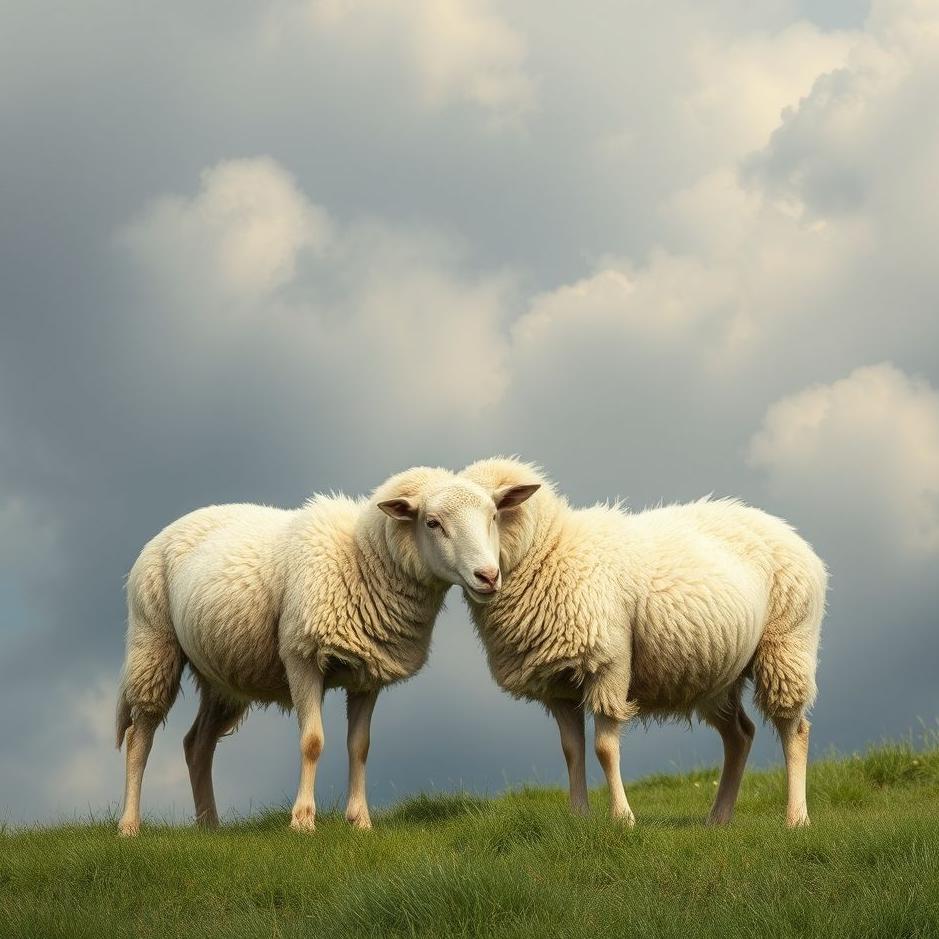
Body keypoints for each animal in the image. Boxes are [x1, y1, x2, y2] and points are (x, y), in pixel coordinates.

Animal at [115, 465, 503, 836]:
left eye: (493, 517)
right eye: (432, 522)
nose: (488, 576)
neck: (361, 559)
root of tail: (169, 528)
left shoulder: (368, 673)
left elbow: (360, 746)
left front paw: (360, 821)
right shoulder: (300, 657)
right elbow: (312, 741)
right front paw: (302, 821)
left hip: (222, 676)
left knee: (197, 743)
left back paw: (209, 825)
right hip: (154, 641)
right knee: (139, 736)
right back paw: (129, 826)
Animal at [445, 457, 827, 828]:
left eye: (494, 514)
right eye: (436, 524)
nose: (484, 576)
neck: (551, 549)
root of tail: (791, 533)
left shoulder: (609, 664)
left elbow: (603, 748)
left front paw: (623, 819)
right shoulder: (558, 685)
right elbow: (572, 750)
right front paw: (578, 818)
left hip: (787, 644)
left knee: (795, 730)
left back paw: (796, 819)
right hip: (717, 675)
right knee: (740, 736)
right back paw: (718, 818)